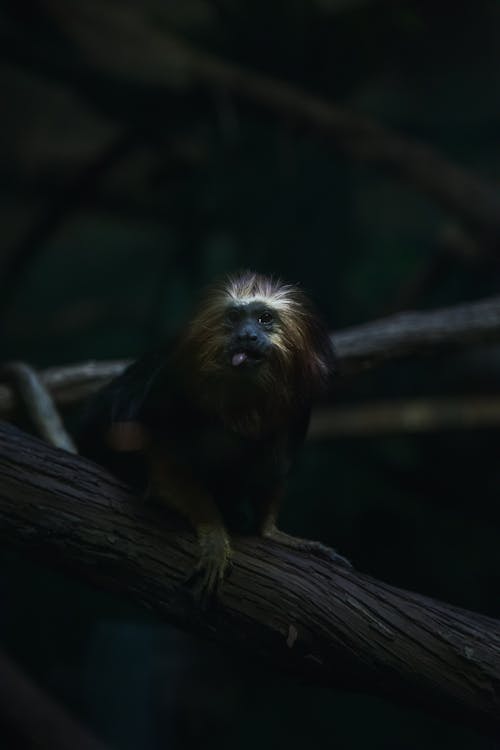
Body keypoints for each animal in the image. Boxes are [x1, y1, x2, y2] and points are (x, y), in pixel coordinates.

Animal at [79, 274, 352, 604]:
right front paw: (214, 533)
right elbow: (165, 464)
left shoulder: (297, 407)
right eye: (234, 318)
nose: (246, 335)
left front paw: (269, 530)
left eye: (264, 318)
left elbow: (273, 469)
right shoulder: (172, 387)